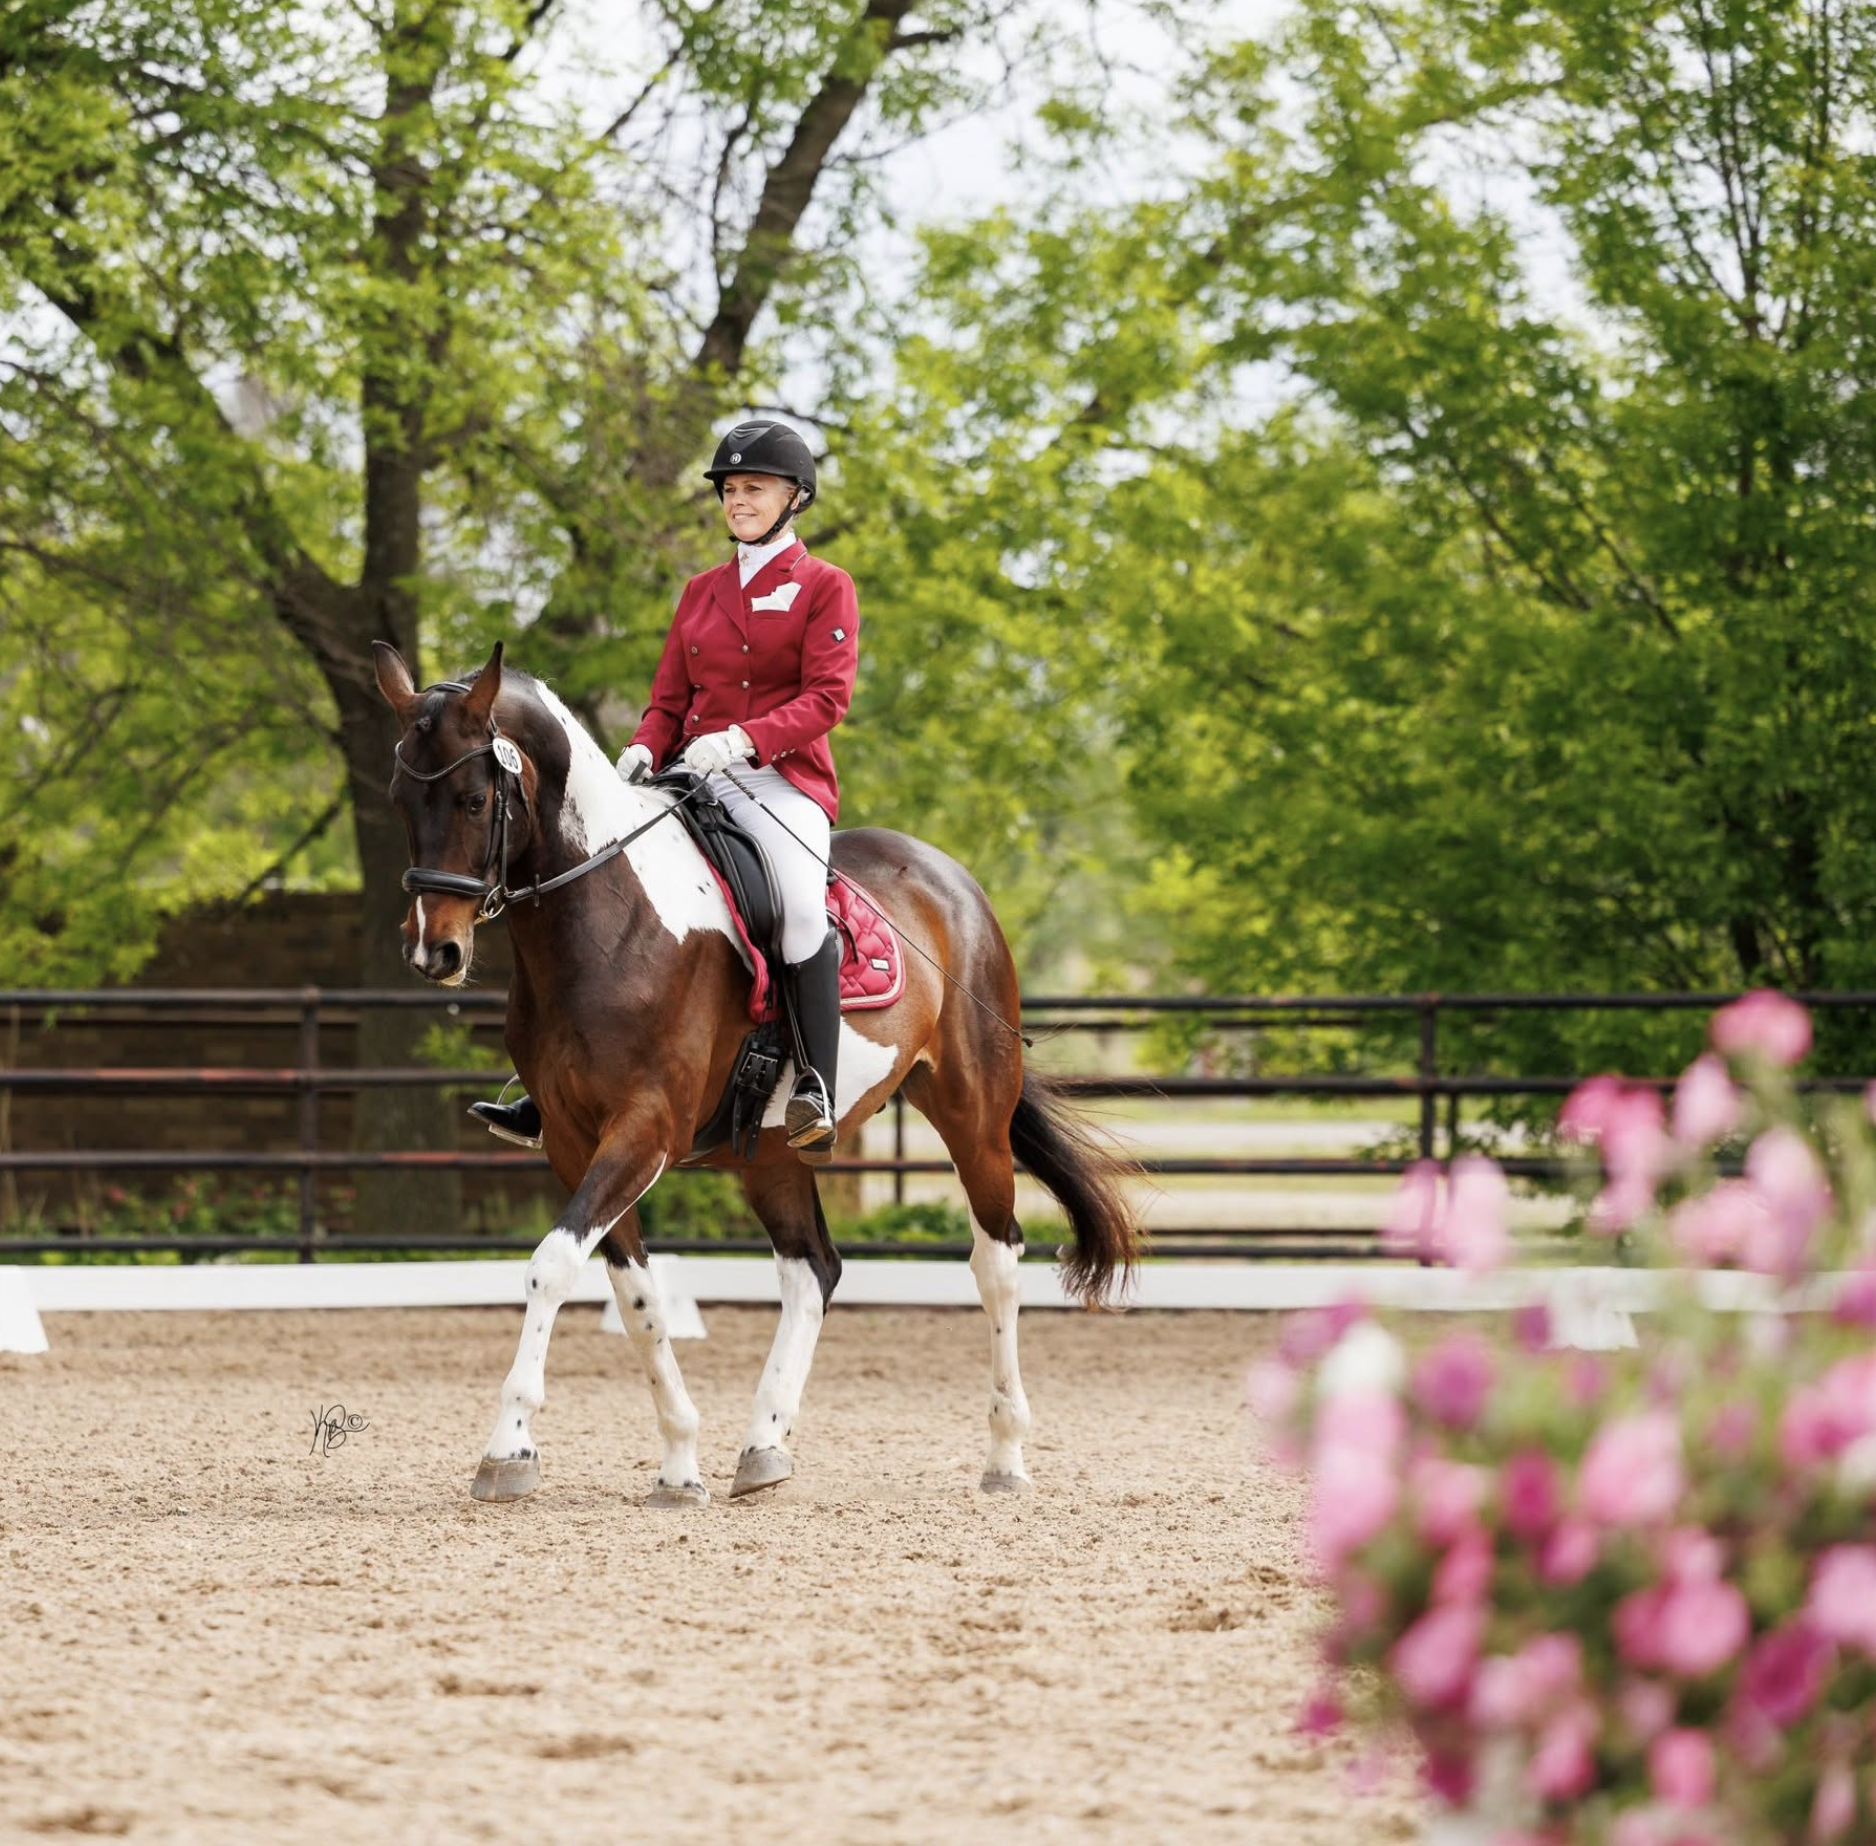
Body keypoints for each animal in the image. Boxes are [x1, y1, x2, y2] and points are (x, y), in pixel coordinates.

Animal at [374, 640, 1140, 1505]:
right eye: (400, 798)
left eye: (474, 799)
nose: (433, 951)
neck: (606, 918)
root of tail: (950, 877)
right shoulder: (574, 1141)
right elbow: (636, 1293)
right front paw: (678, 1460)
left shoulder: (647, 1130)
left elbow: (552, 1267)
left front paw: (507, 1448)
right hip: (772, 1152)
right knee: (813, 1271)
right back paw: (763, 1445)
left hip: (972, 1116)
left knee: (996, 1262)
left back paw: (1005, 1454)